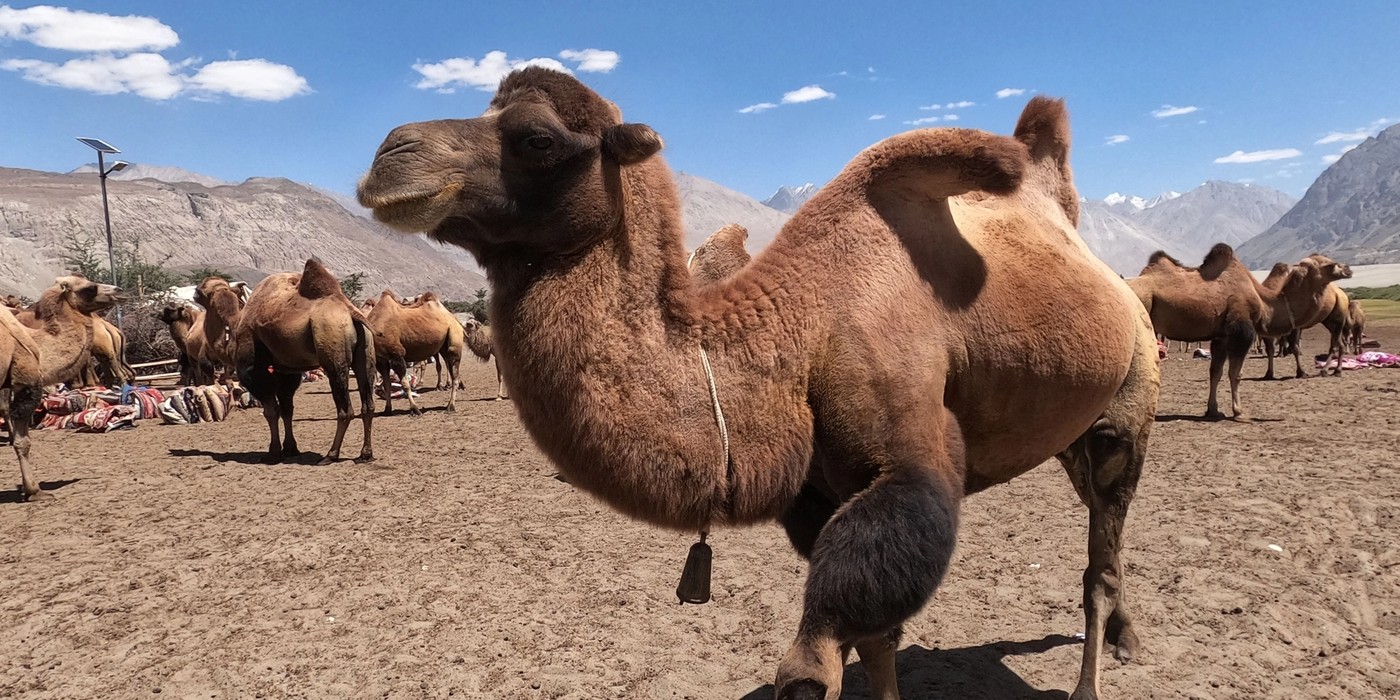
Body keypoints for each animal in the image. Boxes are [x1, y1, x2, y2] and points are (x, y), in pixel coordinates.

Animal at [234, 259, 375, 464]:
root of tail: (350, 311)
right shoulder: (287, 369)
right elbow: (287, 408)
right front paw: (290, 448)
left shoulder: (252, 368)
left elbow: (271, 410)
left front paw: (273, 453)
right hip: (366, 351)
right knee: (368, 404)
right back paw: (365, 454)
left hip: (333, 347)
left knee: (345, 409)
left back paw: (331, 454)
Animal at [358, 67, 1158, 700]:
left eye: (536, 138)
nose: (388, 154)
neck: (795, 339)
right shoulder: (815, 496)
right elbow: (879, 636)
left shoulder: (910, 461)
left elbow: (812, 664)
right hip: (1069, 433)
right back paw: (1126, 638)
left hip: (1128, 409)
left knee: (1101, 552)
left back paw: (1091, 682)